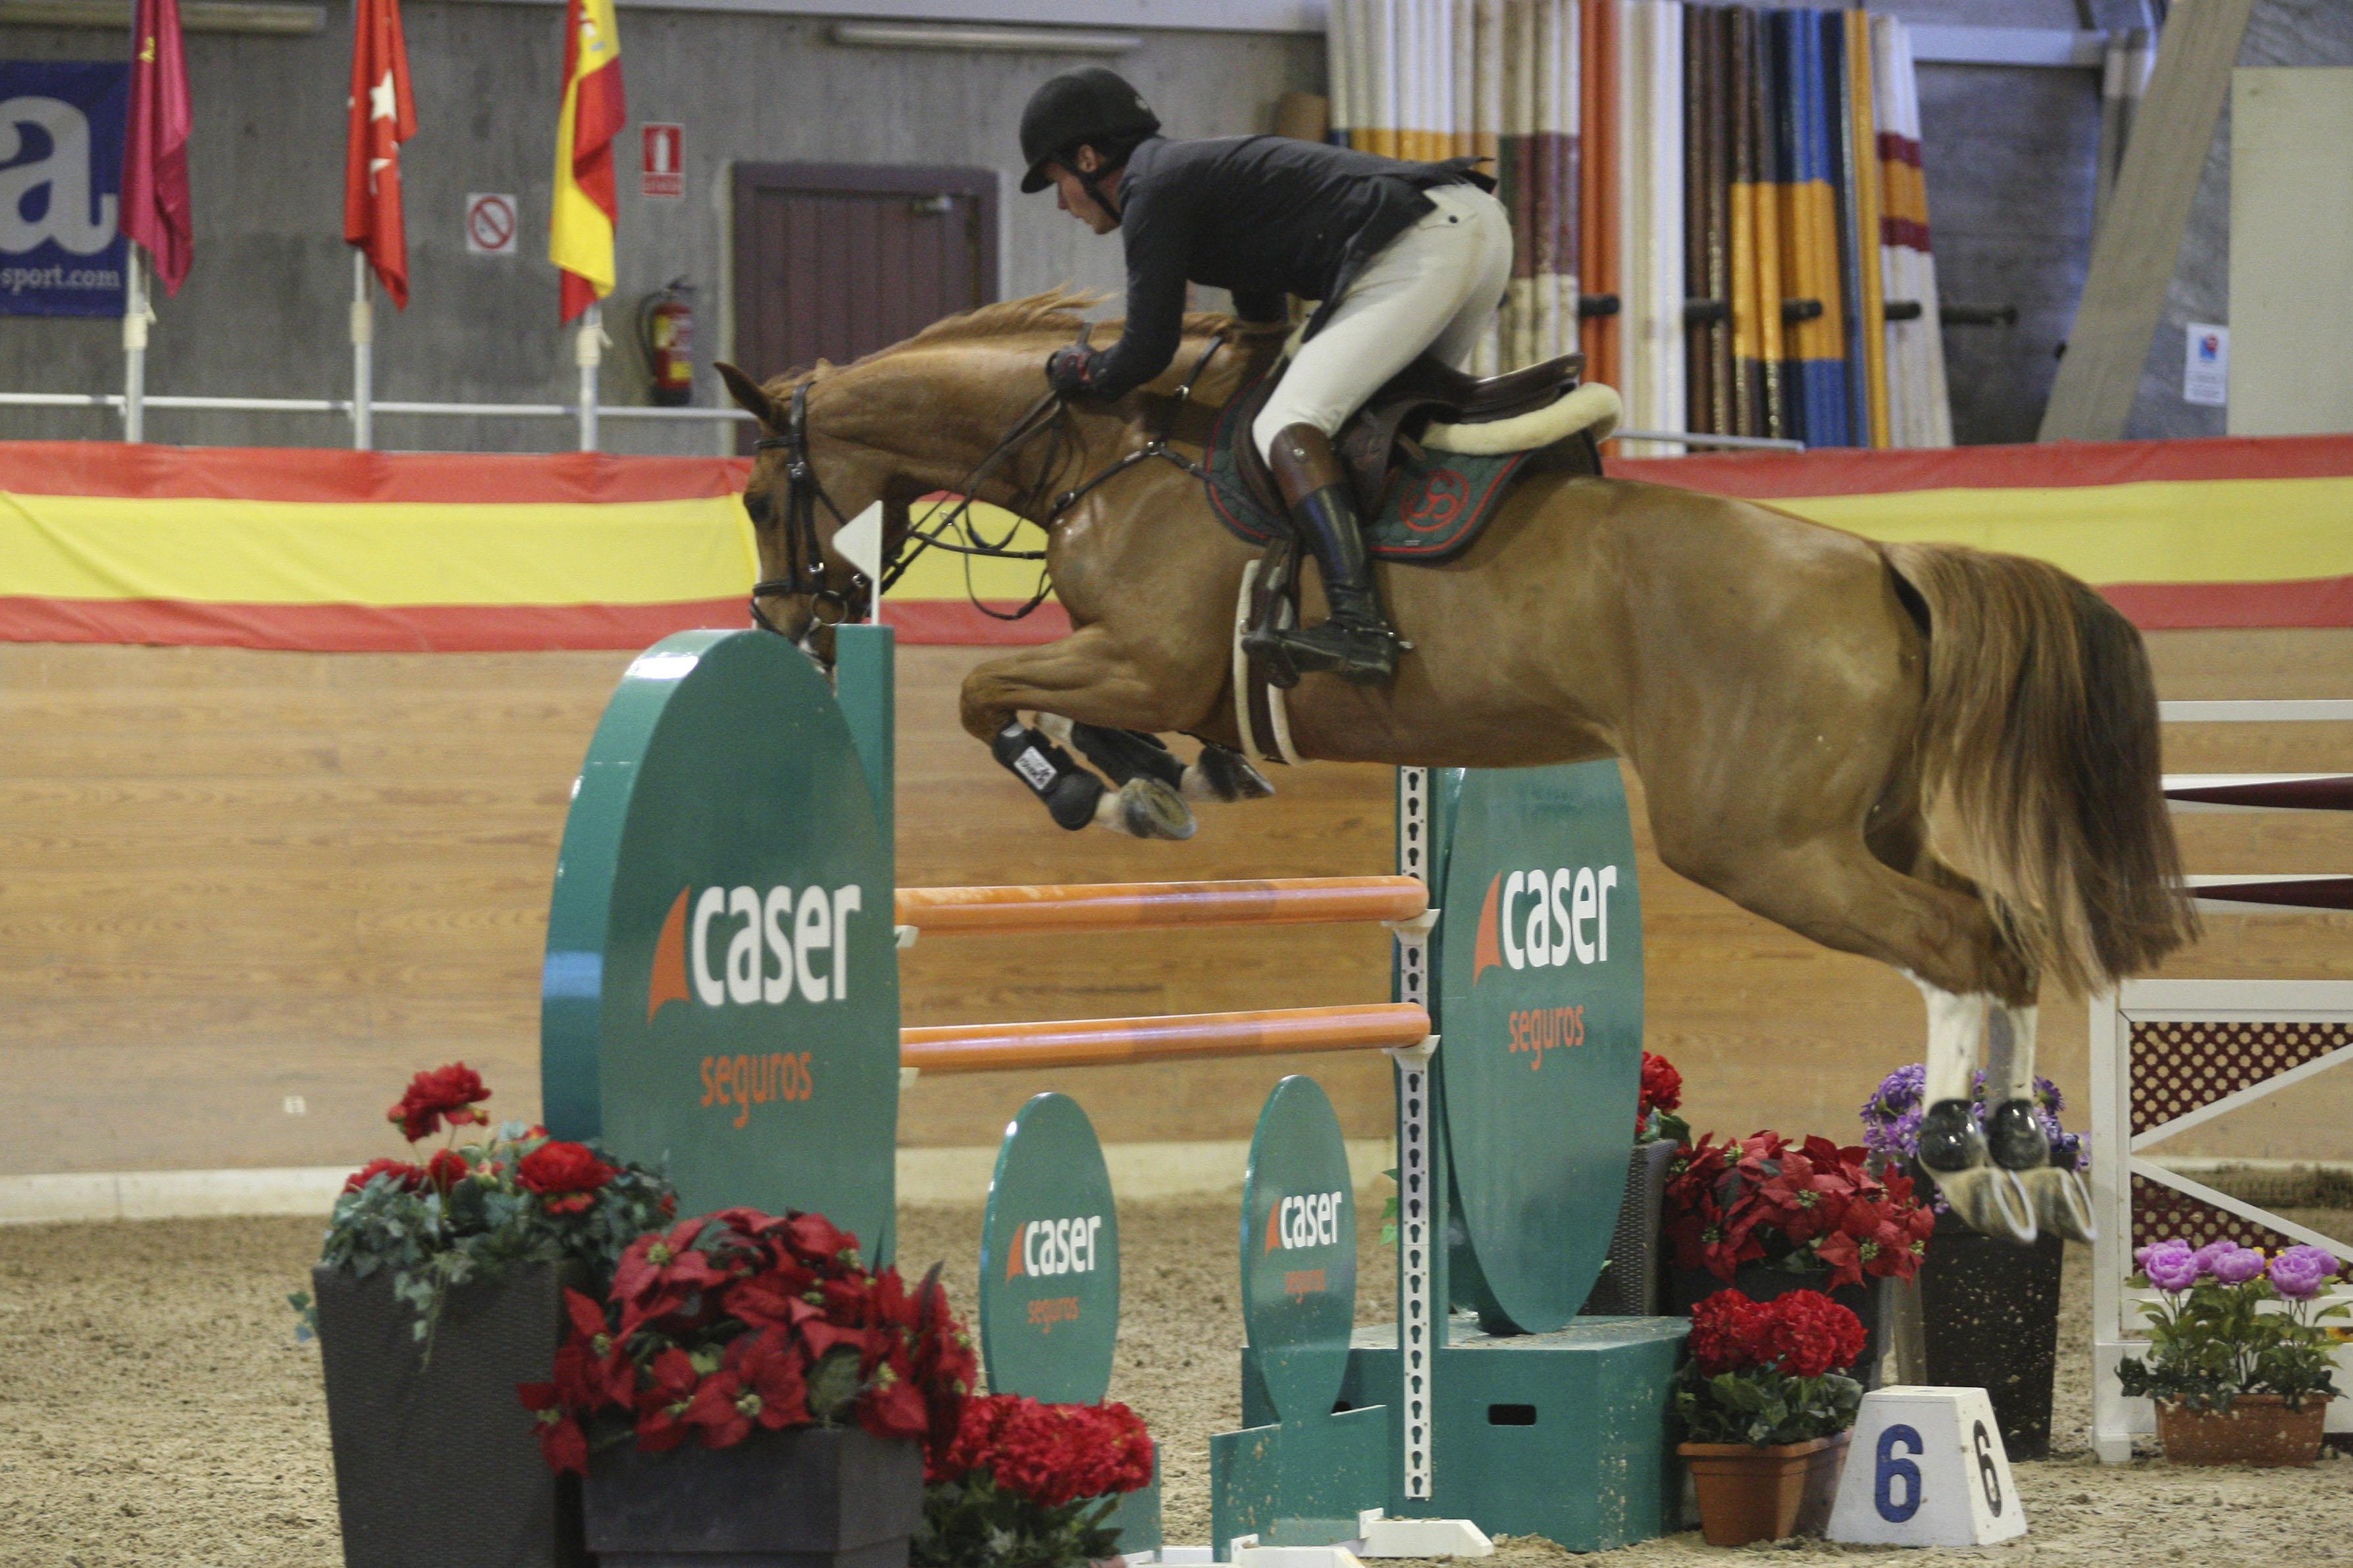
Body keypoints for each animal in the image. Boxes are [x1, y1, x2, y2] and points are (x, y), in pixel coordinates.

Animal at [710, 293, 2183, 1241]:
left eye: (754, 495)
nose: (786, 624)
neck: (1107, 449)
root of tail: (1879, 557)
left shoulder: (1137, 658)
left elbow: (983, 694)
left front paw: (1099, 784)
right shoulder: (1146, 671)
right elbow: (1061, 708)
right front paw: (1163, 779)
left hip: (1759, 841)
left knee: (1955, 945)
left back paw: (1955, 1156)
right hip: (1860, 824)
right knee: (2004, 931)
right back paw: (2019, 1152)